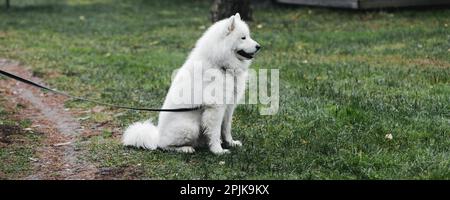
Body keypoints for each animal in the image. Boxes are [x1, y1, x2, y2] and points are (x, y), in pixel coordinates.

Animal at [121, 13, 260, 155]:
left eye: (248, 36)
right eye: (243, 37)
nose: (258, 46)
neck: (220, 65)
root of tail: (157, 136)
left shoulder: (229, 106)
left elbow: (226, 128)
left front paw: (231, 143)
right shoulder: (215, 108)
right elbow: (215, 132)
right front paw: (218, 151)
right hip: (191, 127)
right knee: (164, 146)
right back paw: (185, 148)